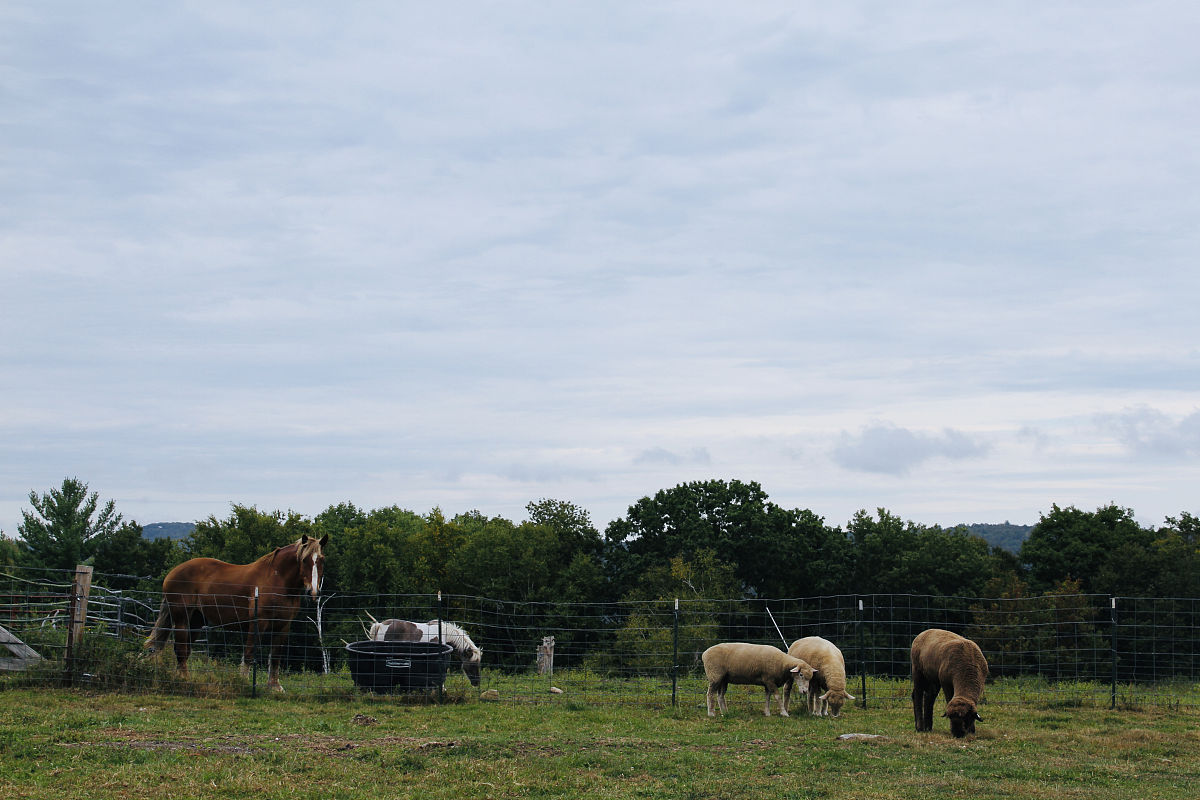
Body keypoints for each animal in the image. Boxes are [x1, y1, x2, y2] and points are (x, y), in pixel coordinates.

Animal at [145, 534, 328, 692]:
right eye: (304, 560)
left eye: (321, 560)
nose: (313, 592)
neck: (277, 580)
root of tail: (172, 573)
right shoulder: (258, 623)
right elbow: (249, 653)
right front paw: (244, 682)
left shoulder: (283, 626)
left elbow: (275, 656)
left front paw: (275, 686)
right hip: (182, 618)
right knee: (181, 650)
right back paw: (184, 680)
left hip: (196, 620)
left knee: (185, 650)